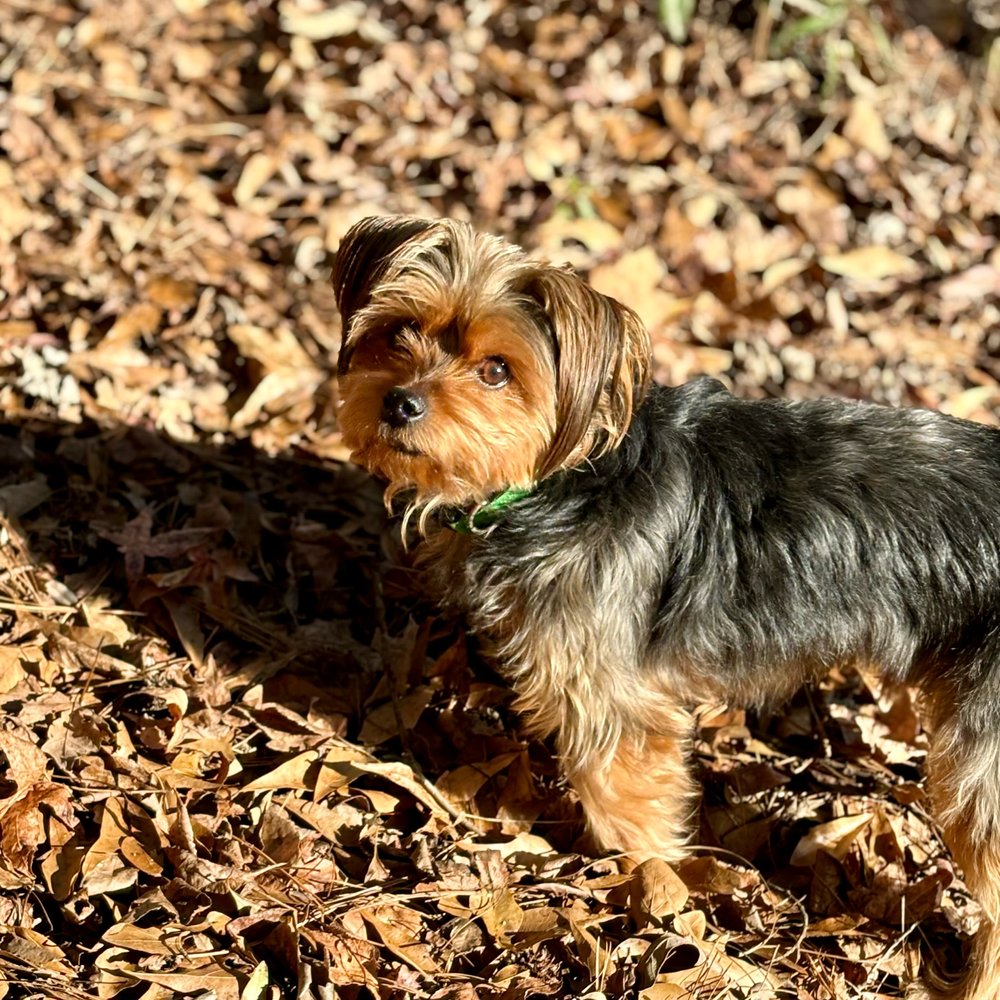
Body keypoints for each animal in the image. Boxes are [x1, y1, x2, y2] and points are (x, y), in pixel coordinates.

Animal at [334, 215, 1000, 996]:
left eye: (496, 370)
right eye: (398, 331)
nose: (399, 401)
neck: (556, 479)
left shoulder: (610, 697)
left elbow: (628, 802)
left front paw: (646, 884)